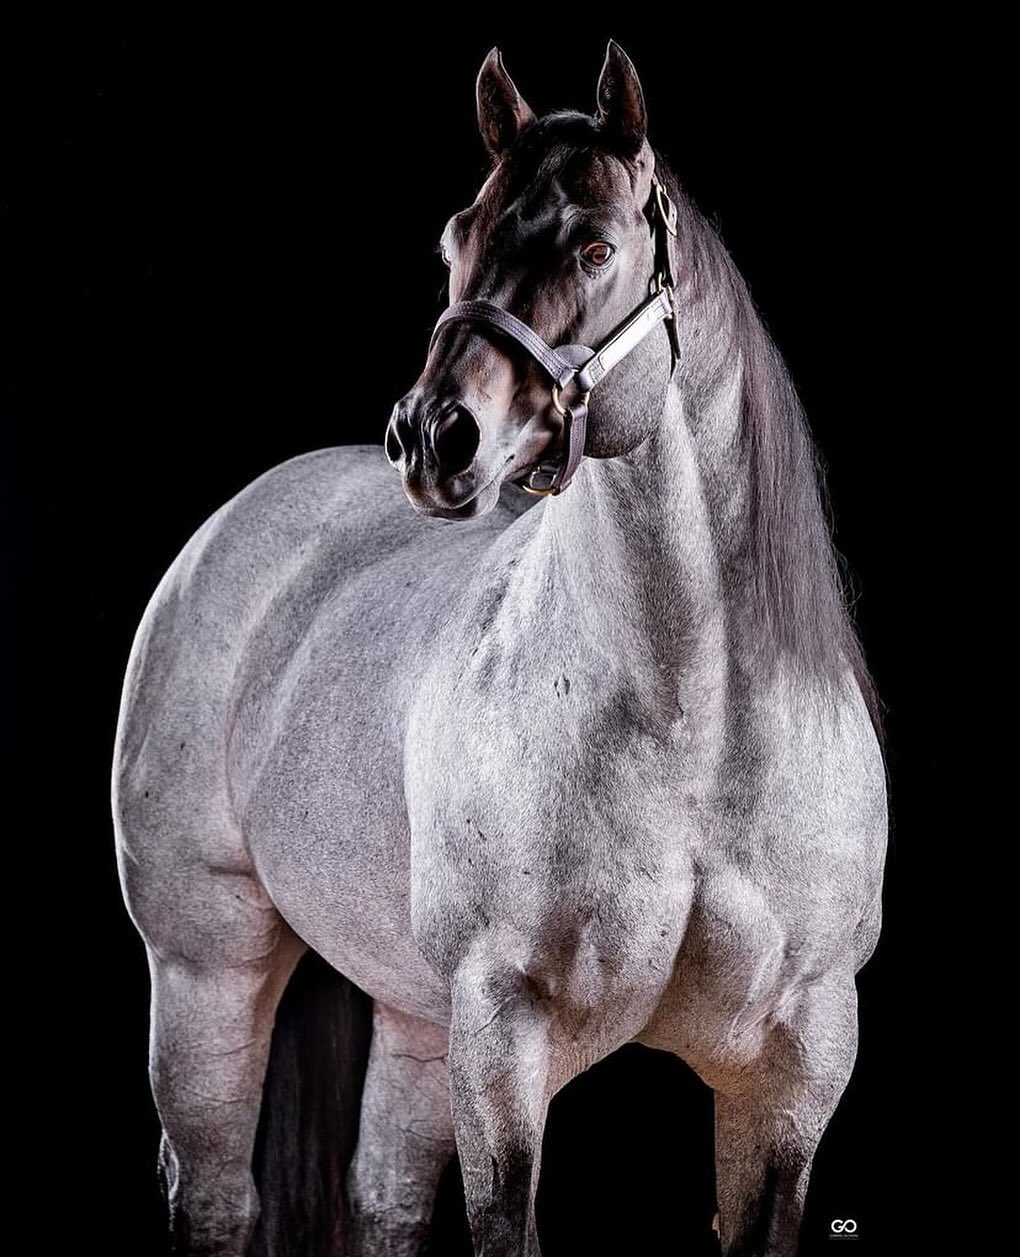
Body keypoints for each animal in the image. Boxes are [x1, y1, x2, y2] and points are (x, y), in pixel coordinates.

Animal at [112, 41, 887, 1257]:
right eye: (456, 239)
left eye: (597, 246)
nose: (432, 436)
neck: (697, 724)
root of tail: (232, 529)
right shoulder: (503, 1029)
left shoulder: (796, 1062)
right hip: (207, 967)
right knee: (218, 1198)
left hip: (414, 1012)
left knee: (382, 1196)